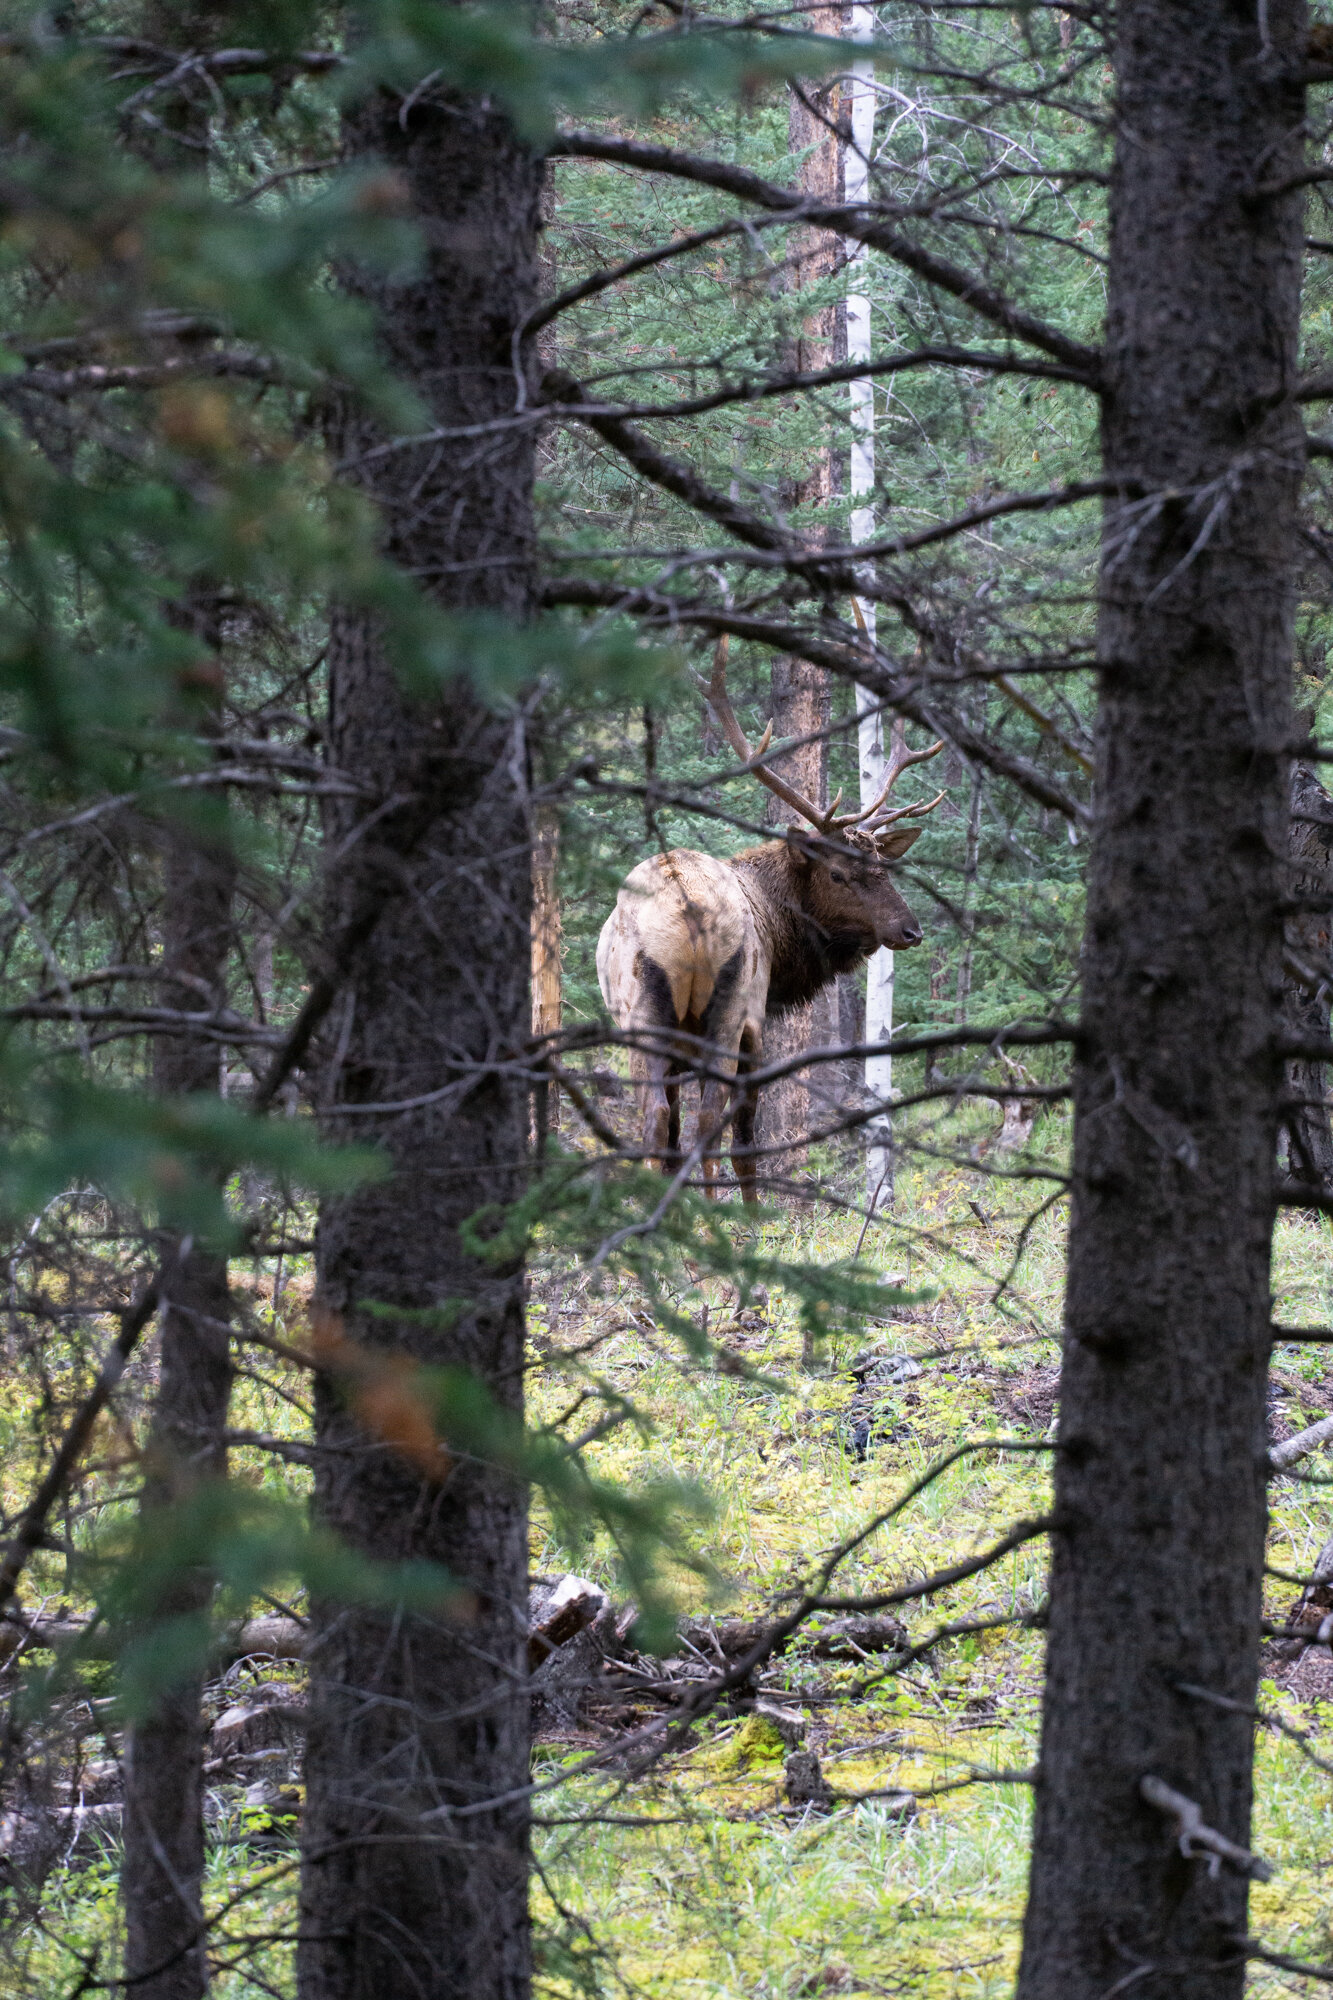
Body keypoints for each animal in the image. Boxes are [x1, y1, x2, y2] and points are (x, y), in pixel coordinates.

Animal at [596, 644, 940, 1200]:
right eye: (838, 873)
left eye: (883, 868)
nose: (910, 930)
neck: (782, 950)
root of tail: (686, 909)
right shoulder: (755, 1026)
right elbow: (745, 1138)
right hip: (726, 1010)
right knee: (710, 1121)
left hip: (640, 1018)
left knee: (658, 1119)